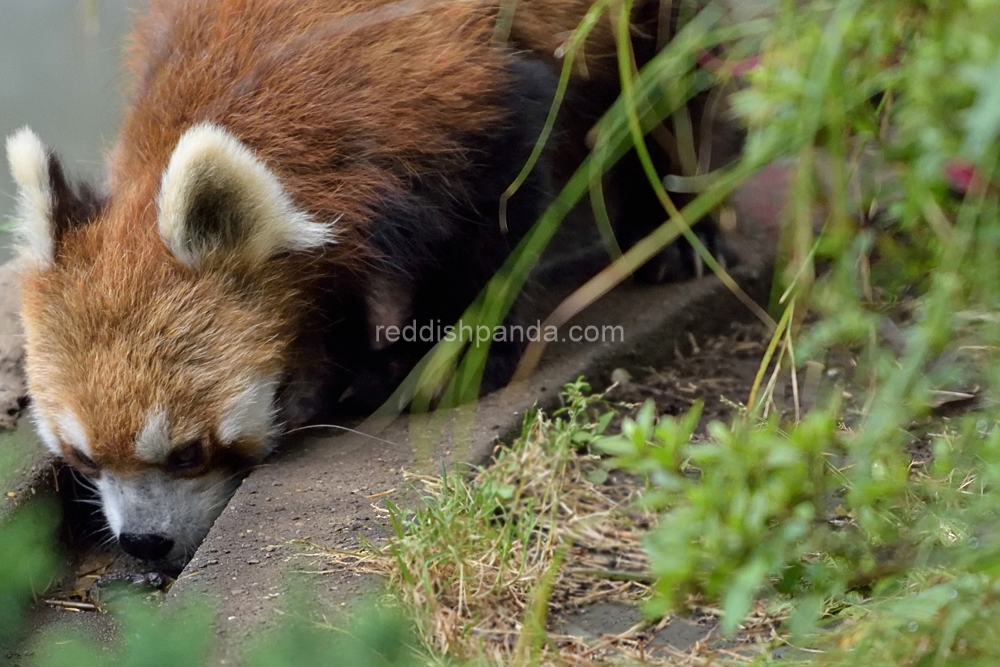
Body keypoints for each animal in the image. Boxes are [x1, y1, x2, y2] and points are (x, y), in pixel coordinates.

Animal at [5, 0, 728, 568]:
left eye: (186, 453)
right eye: (83, 459)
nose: (144, 543)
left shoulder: (440, 86)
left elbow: (497, 199)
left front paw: (451, 358)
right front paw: (342, 370)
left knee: (667, 77)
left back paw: (676, 227)